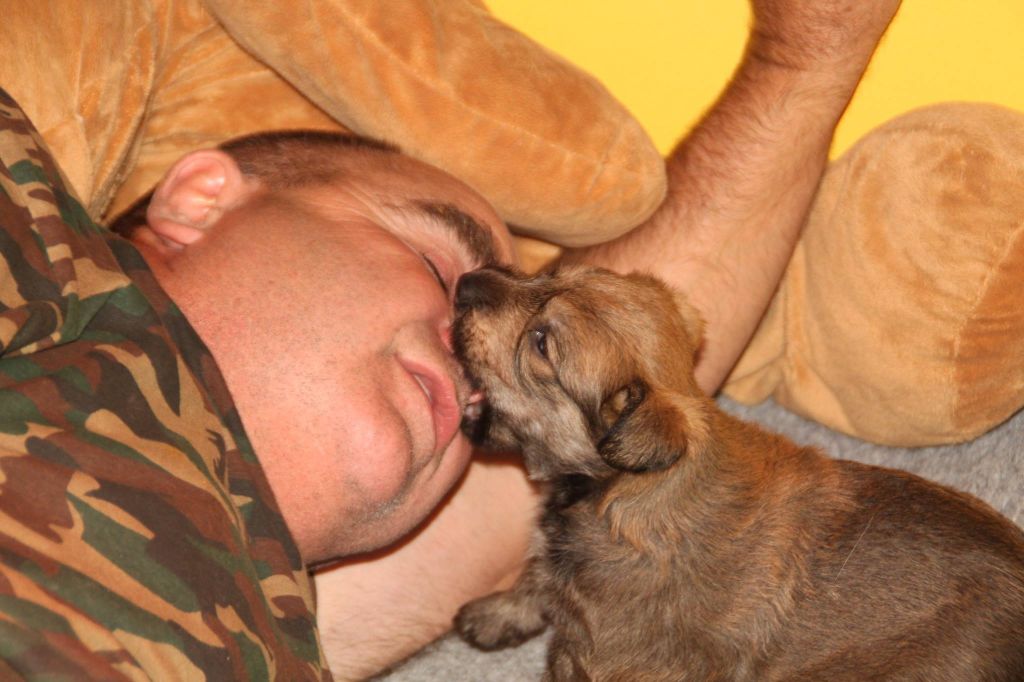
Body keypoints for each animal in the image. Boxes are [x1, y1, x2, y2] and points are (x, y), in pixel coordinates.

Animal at [454, 264, 1024, 679]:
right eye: (549, 275)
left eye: (540, 343)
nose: (465, 281)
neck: (623, 490)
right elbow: (535, 577)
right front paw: (495, 616)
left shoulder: (602, 655)